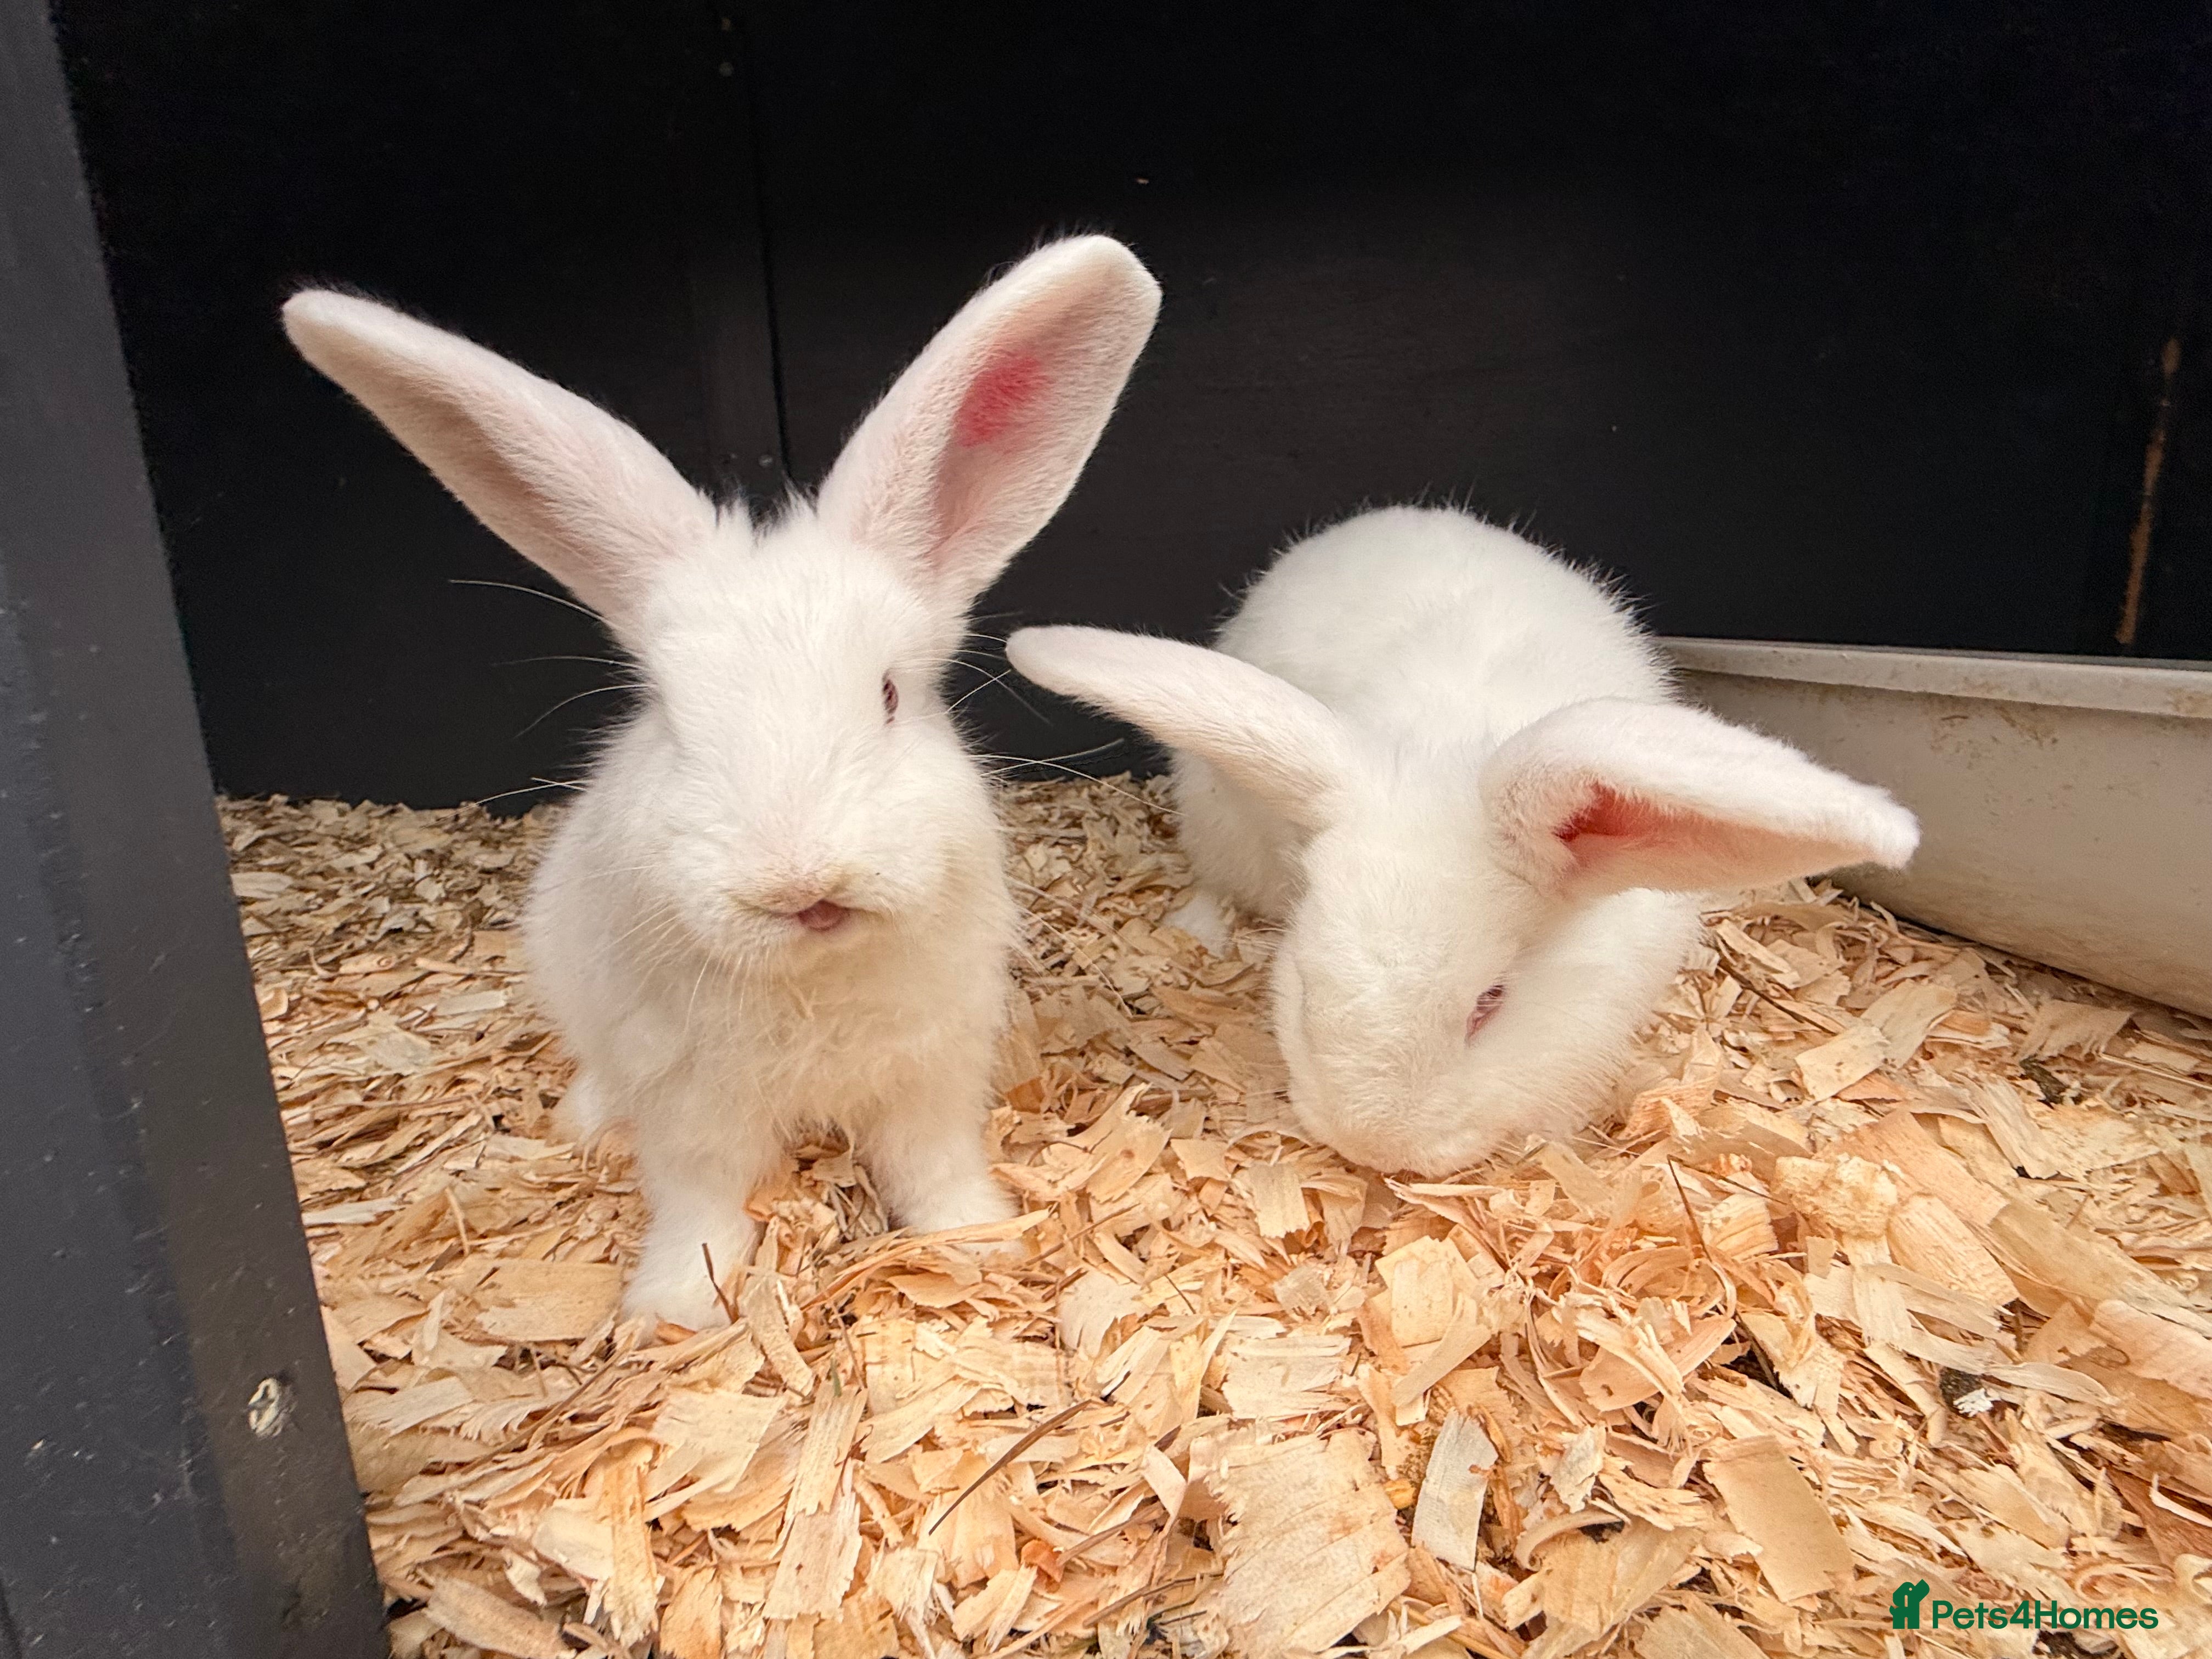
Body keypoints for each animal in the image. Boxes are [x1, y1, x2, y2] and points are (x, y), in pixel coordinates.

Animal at [284, 236, 1161, 1326]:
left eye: (888, 694)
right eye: (668, 710)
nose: (802, 885)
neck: (815, 978)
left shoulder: (933, 1074)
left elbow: (933, 1168)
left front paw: (979, 1242)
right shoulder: (691, 1104)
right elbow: (700, 1199)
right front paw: (675, 1308)